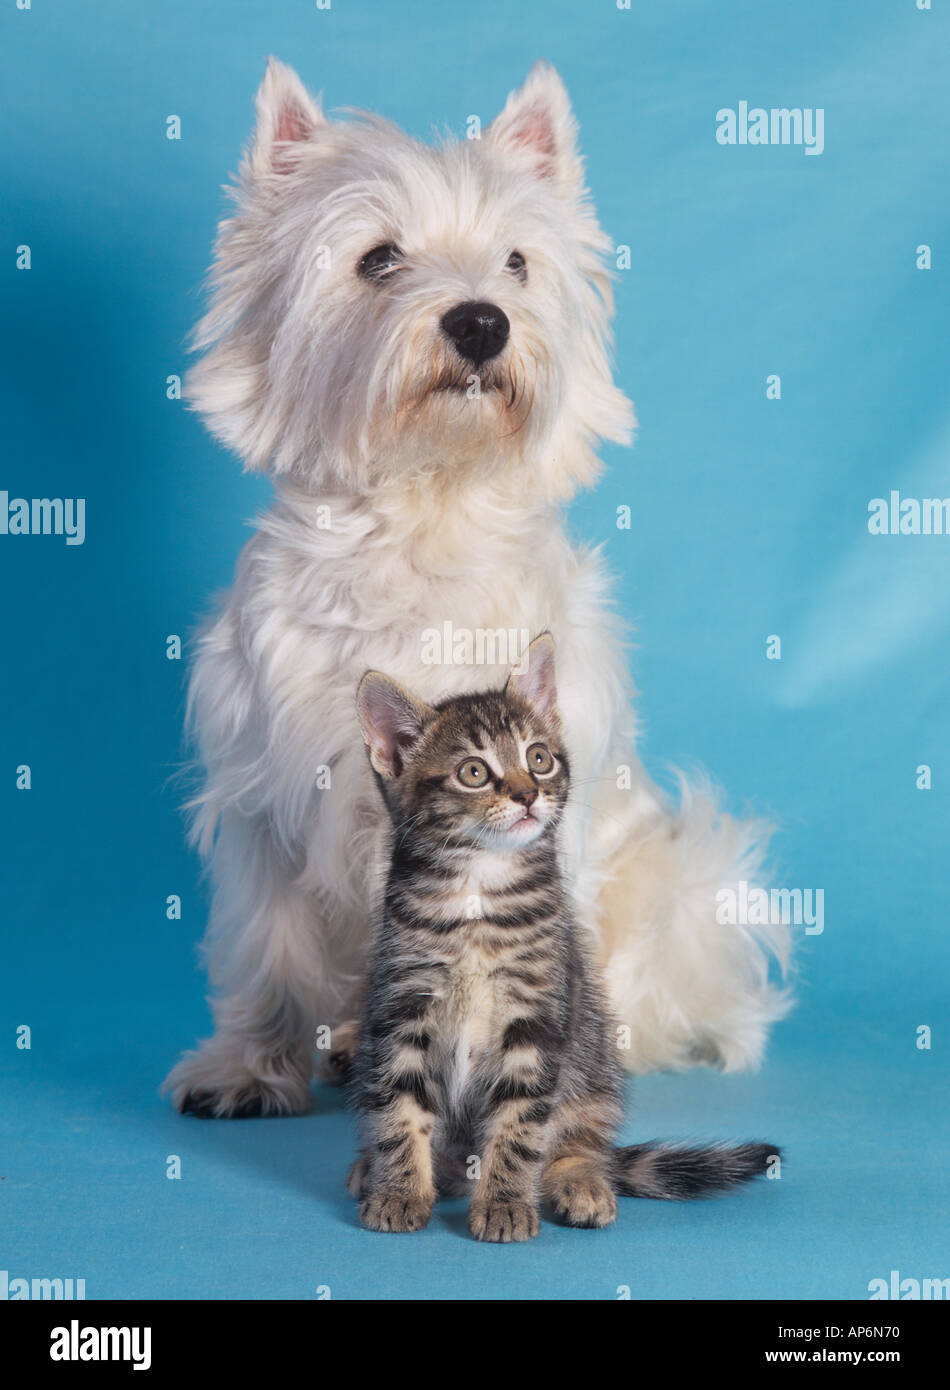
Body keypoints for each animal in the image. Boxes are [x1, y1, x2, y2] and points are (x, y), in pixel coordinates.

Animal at [165, 59, 795, 1117]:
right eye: (378, 258)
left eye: (516, 263)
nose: (479, 321)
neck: (426, 514)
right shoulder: (261, 796)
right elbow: (267, 943)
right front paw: (250, 1065)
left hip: (675, 884)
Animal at [350, 636, 778, 1245]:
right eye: (474, 772)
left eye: (538, 758)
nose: (528, 794)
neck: (477, 891)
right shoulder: (401, 1005)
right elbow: (399, 1109)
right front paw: (400, 1190)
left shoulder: (538, 1017)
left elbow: (518, 1124)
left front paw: (505, 1202)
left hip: (592, 1061)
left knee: (578, 1143)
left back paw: (580, 1183)